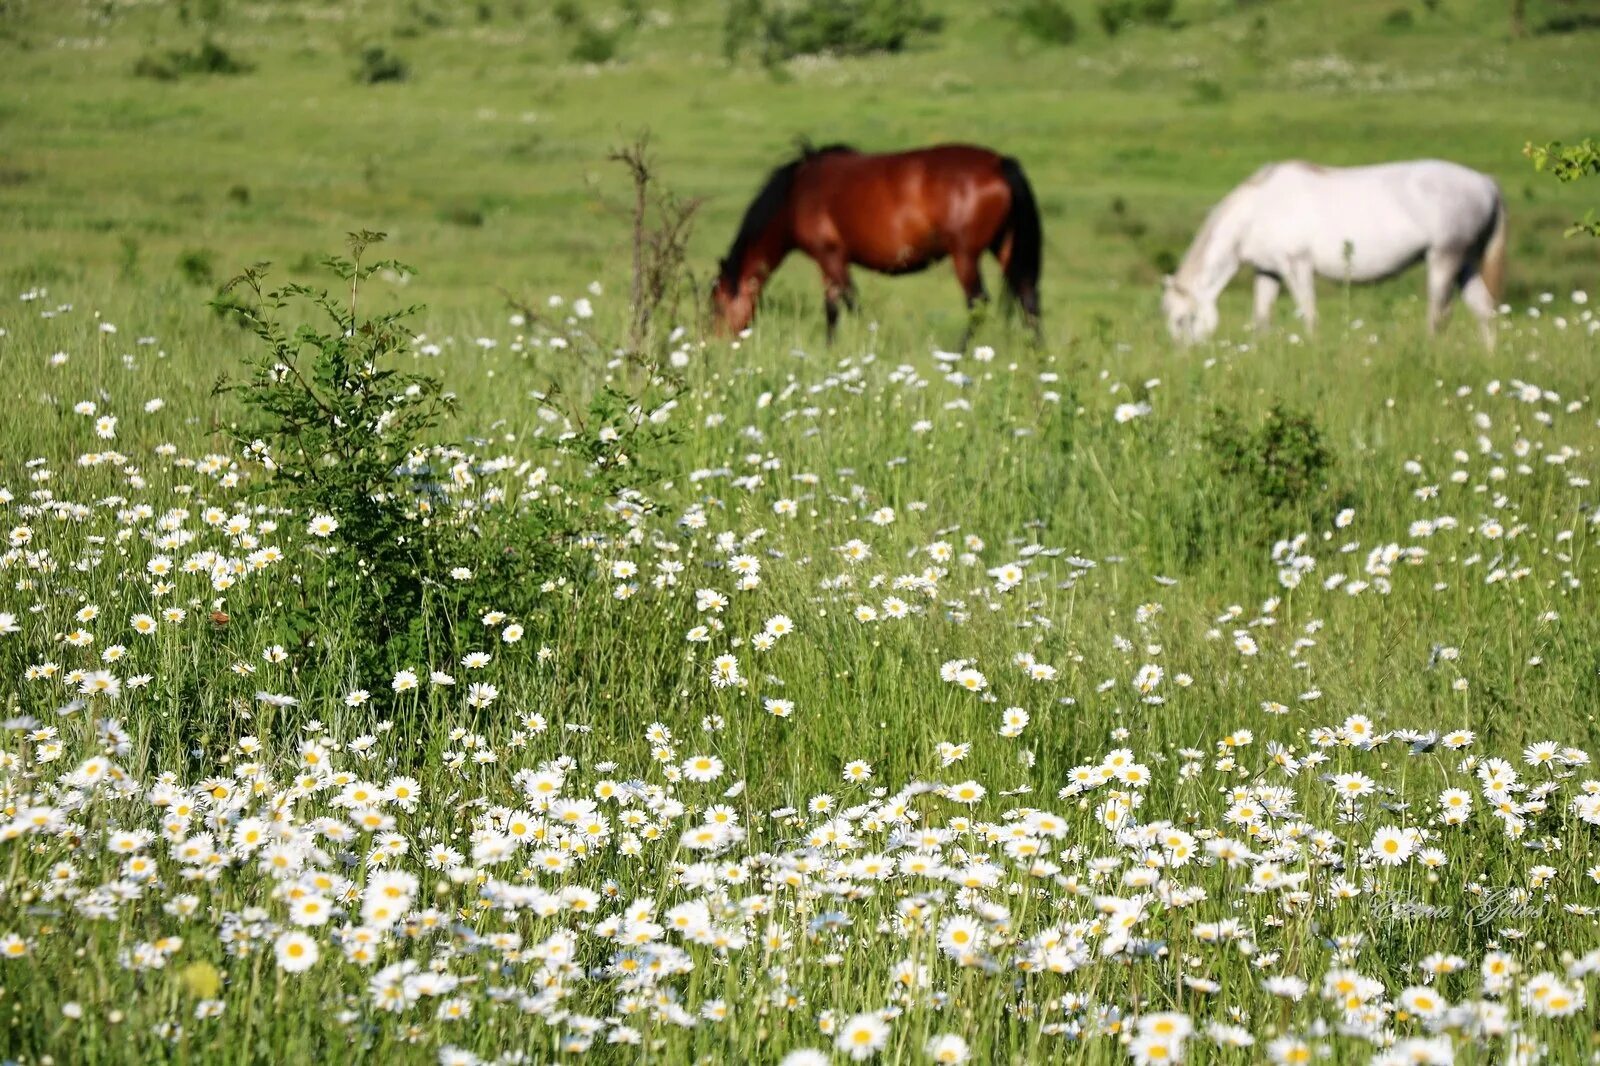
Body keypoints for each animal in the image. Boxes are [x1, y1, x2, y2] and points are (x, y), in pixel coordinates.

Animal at [716, 143, 1043, 342]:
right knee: (1028, 298)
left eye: (716, 307)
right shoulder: (828, 263)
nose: (715, 343)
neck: (795, 195)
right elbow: (833, 310)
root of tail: (1000, 163)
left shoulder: (831, 256)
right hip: (1004, 246)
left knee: (978, 303)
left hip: (965, 254)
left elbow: (850, 304)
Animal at [1164, 157, 1497, 344]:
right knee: (1485, 312)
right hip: (1466, 263)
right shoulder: (1268, 271)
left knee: (1439, 314)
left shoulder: (1296, 265)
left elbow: (1309, 314)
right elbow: (1261, 318)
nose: (1185, 359)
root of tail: (1486, 183)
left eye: (1182, 320)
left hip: (1444, 257)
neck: (1257, 211)